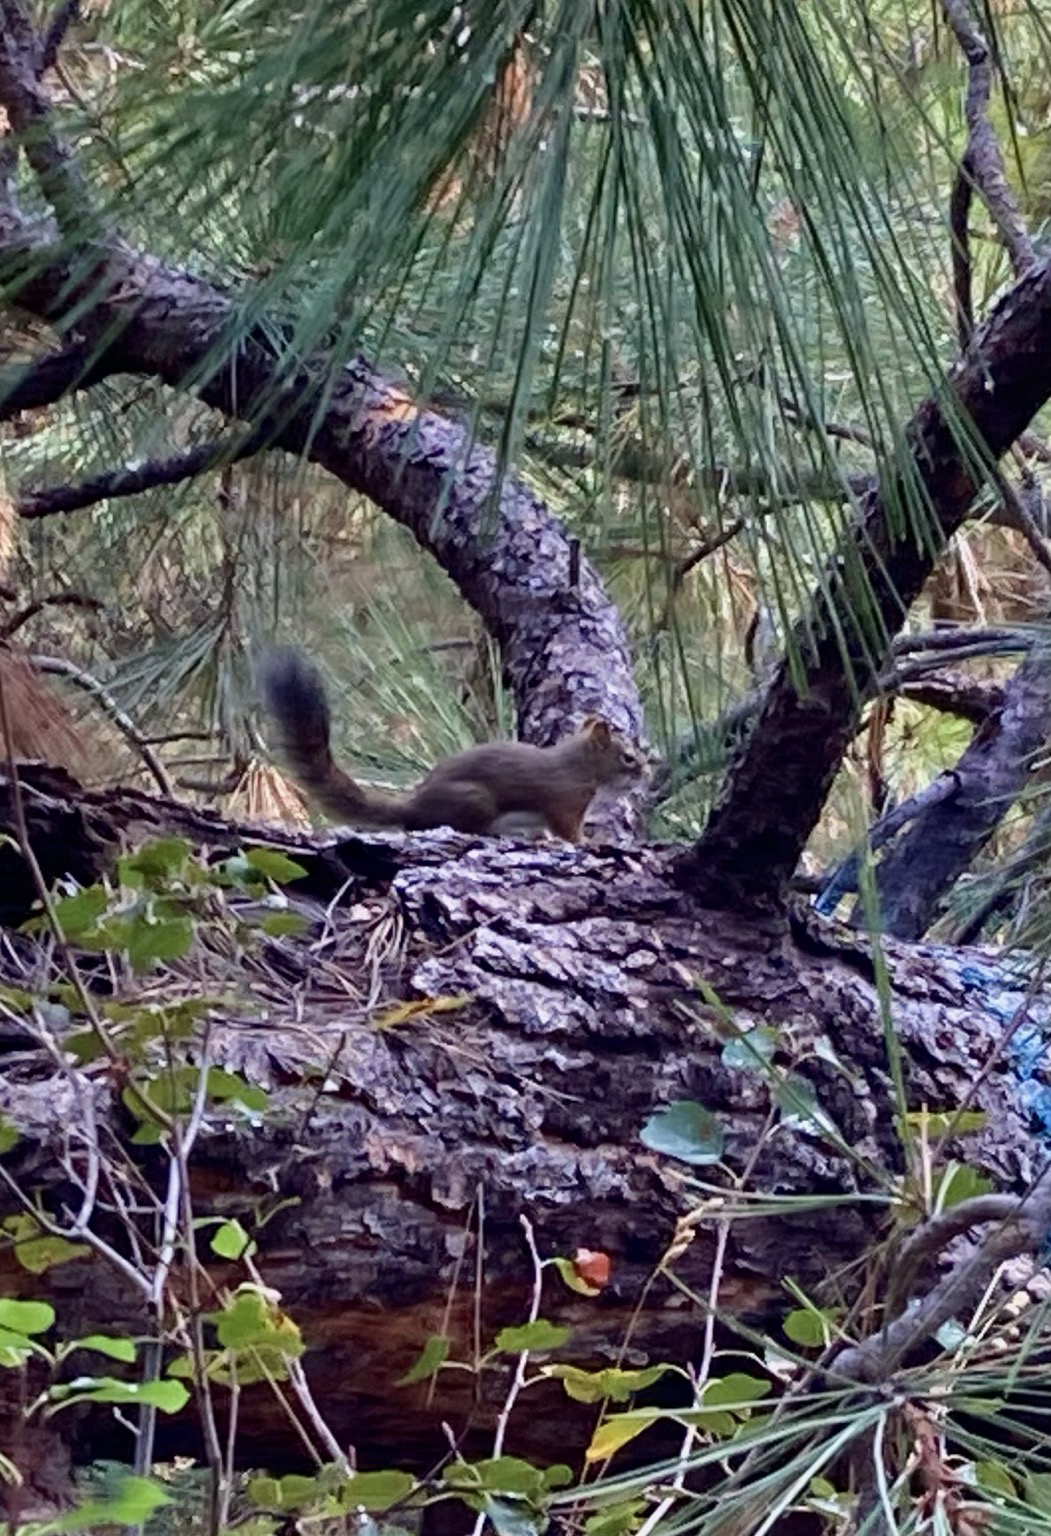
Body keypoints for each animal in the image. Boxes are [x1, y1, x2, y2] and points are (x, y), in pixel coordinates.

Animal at [257, 645, 645, 841]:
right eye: (628, 757)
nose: (646, 772)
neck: (581, 767)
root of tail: (413, 806)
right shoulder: (563, 803)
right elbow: (568, 832)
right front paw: (588, 845)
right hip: (474, 801)